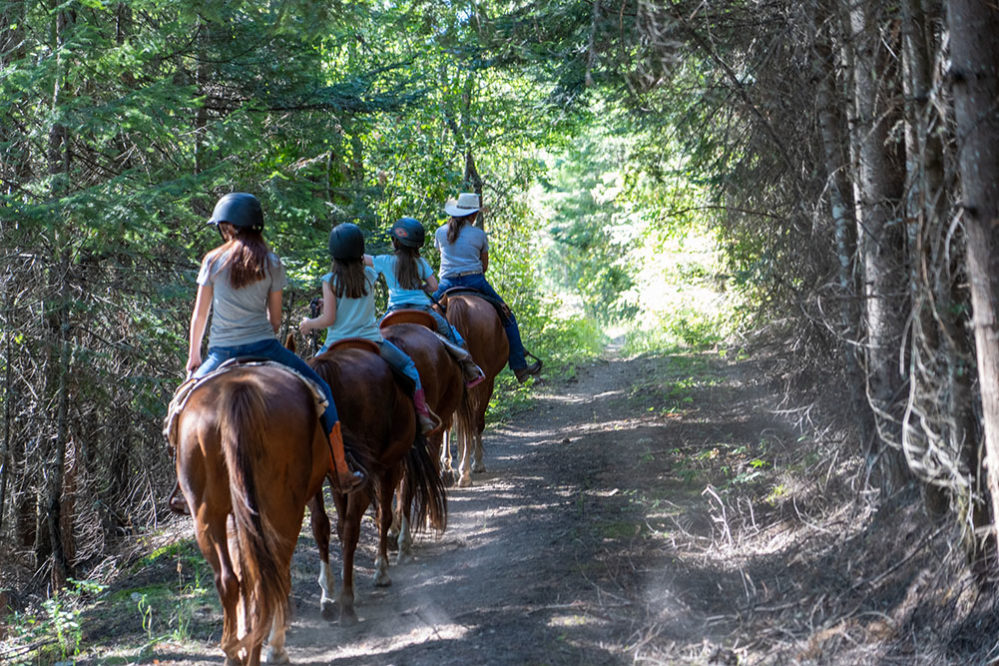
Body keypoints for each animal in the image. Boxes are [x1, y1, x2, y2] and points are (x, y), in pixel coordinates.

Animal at [170, 363, 330, 665]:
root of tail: (238, 390)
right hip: (283, 509)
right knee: (271, 578)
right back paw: (268, 649)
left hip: (207, 515)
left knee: (230, 580)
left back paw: (235, 652)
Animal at [297, 337, 447, 625]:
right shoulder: (387, 467)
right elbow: (384, 515)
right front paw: (382, 569)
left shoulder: (342, 480)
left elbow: (339, 523)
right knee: (353, 524)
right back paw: (347, 602)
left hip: (321, 479)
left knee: (321, 524)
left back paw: (329, 598)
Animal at [436, 290, 509, 487]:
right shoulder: (488, 382)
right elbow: (476, 422)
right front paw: (476, 461)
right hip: (484, 382)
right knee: (474, 420)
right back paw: (466, 471)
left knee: (451, 422)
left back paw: (449, 470)